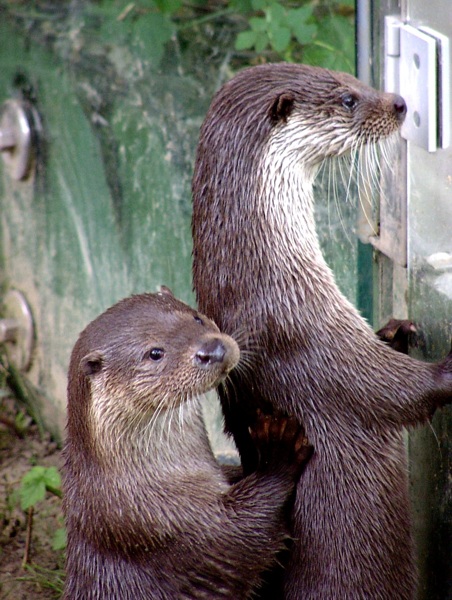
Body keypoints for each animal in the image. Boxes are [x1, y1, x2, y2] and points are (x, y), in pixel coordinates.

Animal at [61, 288, 312, 596]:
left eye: (197, 318)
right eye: (155, 353)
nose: (213, 350)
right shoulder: (159, 525)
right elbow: (243, 535)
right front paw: (276, 451)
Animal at [192, 62, 452, 600]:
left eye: (354, 78)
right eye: (349, 99)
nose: (399, 103)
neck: (268, 275)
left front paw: (396, 330)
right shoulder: (310, 336)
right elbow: (391, 392)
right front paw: (446, 368)